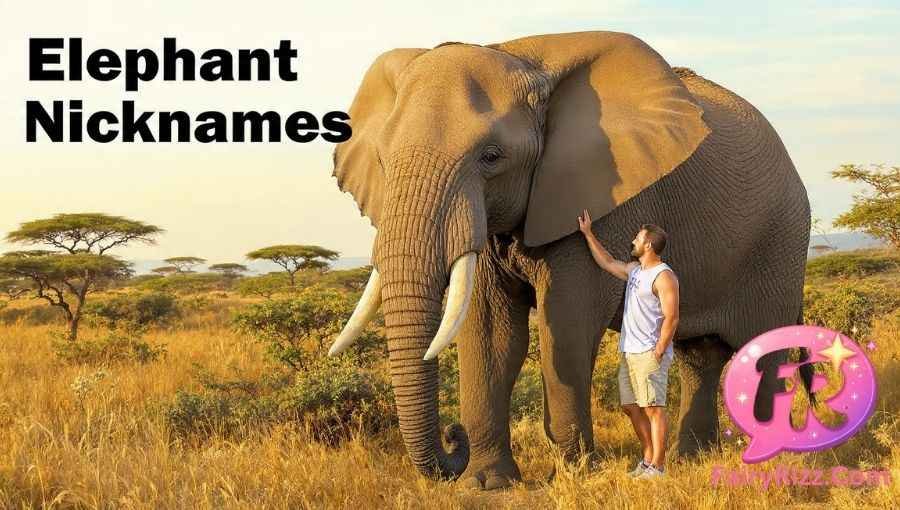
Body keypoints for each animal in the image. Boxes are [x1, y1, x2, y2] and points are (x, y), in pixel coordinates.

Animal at [327, 31, 810, 489]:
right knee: (699, 357)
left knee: (764, 352)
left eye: (491, 157)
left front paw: (576, 472)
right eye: (383, 160)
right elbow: (490, 331)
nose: (452, 436)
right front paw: (487, 482)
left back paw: (770, 460)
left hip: (781, 242)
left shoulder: (608, 196)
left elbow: (568, 321)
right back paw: (689, 458)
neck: (519, 56)